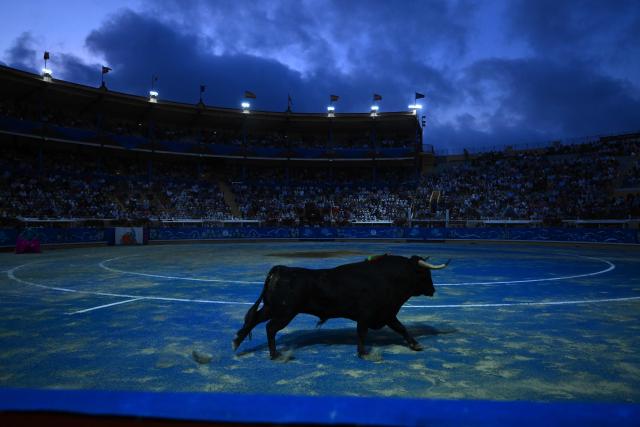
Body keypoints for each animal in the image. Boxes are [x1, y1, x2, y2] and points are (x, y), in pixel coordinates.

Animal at [232, 254, 449, 359]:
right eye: (425, 274)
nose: (433, 290)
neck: (389, 277)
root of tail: (280, 270)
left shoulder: (387, 314)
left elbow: (401, 328)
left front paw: (415, 344)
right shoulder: (368, 315)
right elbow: (362, 333)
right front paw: (363, 353)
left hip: (272, 308)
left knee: (254, 320)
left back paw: (237, 342)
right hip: (285, 312)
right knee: (270, 328)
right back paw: (275, 354)